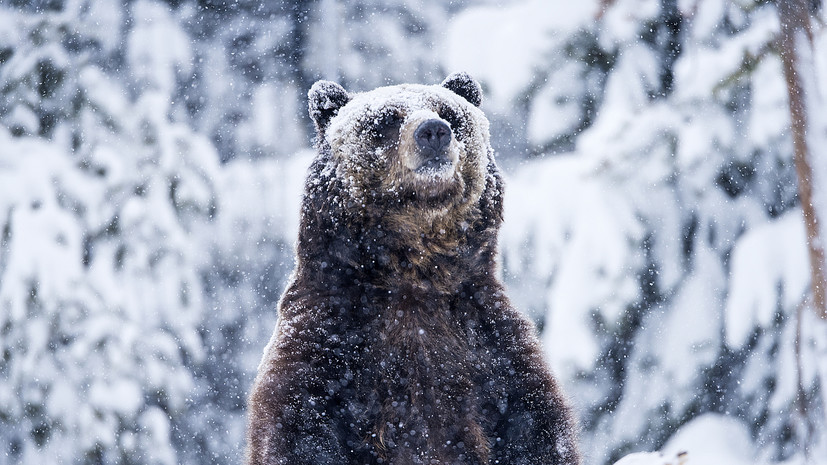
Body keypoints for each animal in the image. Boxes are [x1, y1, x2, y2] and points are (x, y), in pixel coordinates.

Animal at [246, 72, 584, 464]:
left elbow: (534, 427)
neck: (415, 275)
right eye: (386, 120)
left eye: (450, 114)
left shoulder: (491, 347)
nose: (433, 131)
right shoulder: (327, 344)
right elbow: (300, 429)